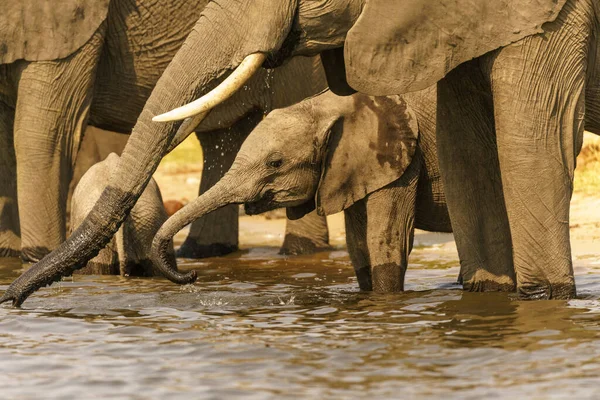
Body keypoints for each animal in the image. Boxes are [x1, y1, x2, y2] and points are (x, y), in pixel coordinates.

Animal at [0, 0, 328, 260]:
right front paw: (8, 255)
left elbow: (44, 139)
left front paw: (35, 256)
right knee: (222, 137)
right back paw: (202, 251)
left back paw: (299, 252)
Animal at [152, 88, 452, 290]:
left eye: (275, 163)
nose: (192, 275)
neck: (329, 106)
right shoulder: (353, 172)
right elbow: (357, 245)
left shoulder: (402, 164)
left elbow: (386, 240)